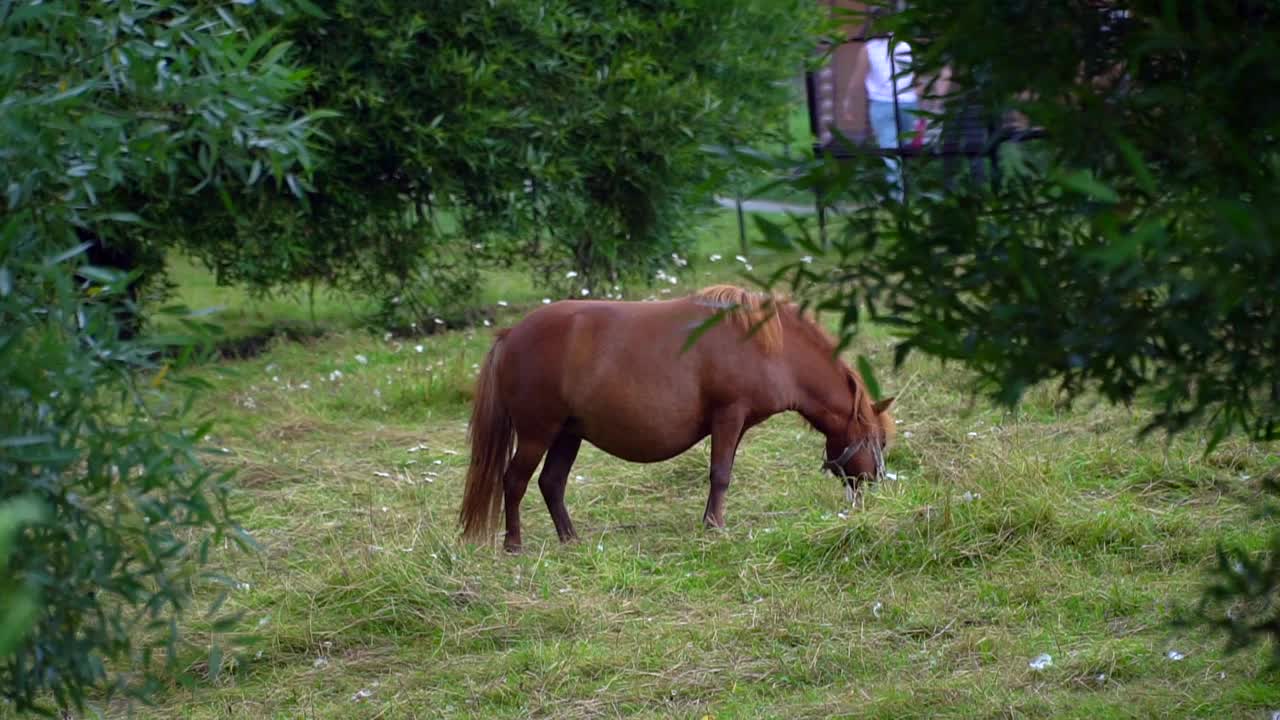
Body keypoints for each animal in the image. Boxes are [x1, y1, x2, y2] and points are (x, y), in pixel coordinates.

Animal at [458, 283, 890, 545]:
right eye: (880, 440)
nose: (876, 484)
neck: (770, 347)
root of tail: (511, 334)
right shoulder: (729, 415)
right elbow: (720, 475)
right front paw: (714, 527)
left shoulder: (734, 424)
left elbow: (722, 473)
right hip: (538, 433)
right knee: (514, 481)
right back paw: (514, 545)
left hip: (568, 433)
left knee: (551, 483)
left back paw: (571, 541)